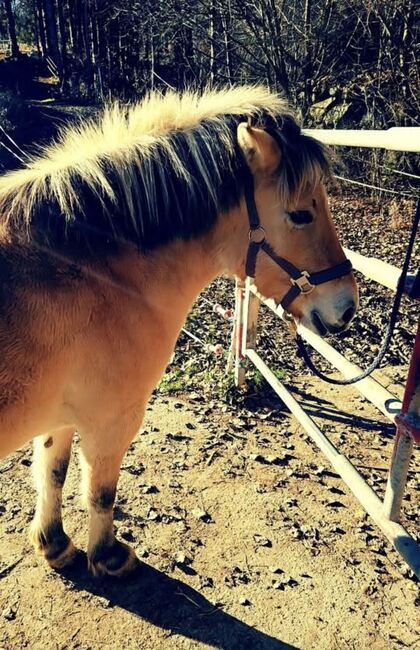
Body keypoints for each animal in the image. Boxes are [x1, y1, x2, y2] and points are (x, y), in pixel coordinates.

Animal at [0, 86, 358, 577]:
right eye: (301, 214)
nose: (347, 307)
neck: (89, 270)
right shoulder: (112, 420)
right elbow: (100, 491)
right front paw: (109, 556)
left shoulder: (61, 417)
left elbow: (51, 472)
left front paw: (55, 545)